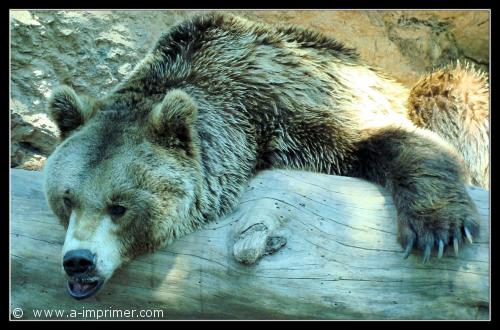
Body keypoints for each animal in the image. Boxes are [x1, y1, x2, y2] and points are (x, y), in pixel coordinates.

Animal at [42, 12, 484, 300]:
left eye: (119, 206)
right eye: (67, 199)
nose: (78, 261)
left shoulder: (297, 104)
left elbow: (391, 138)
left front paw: (438, 229)